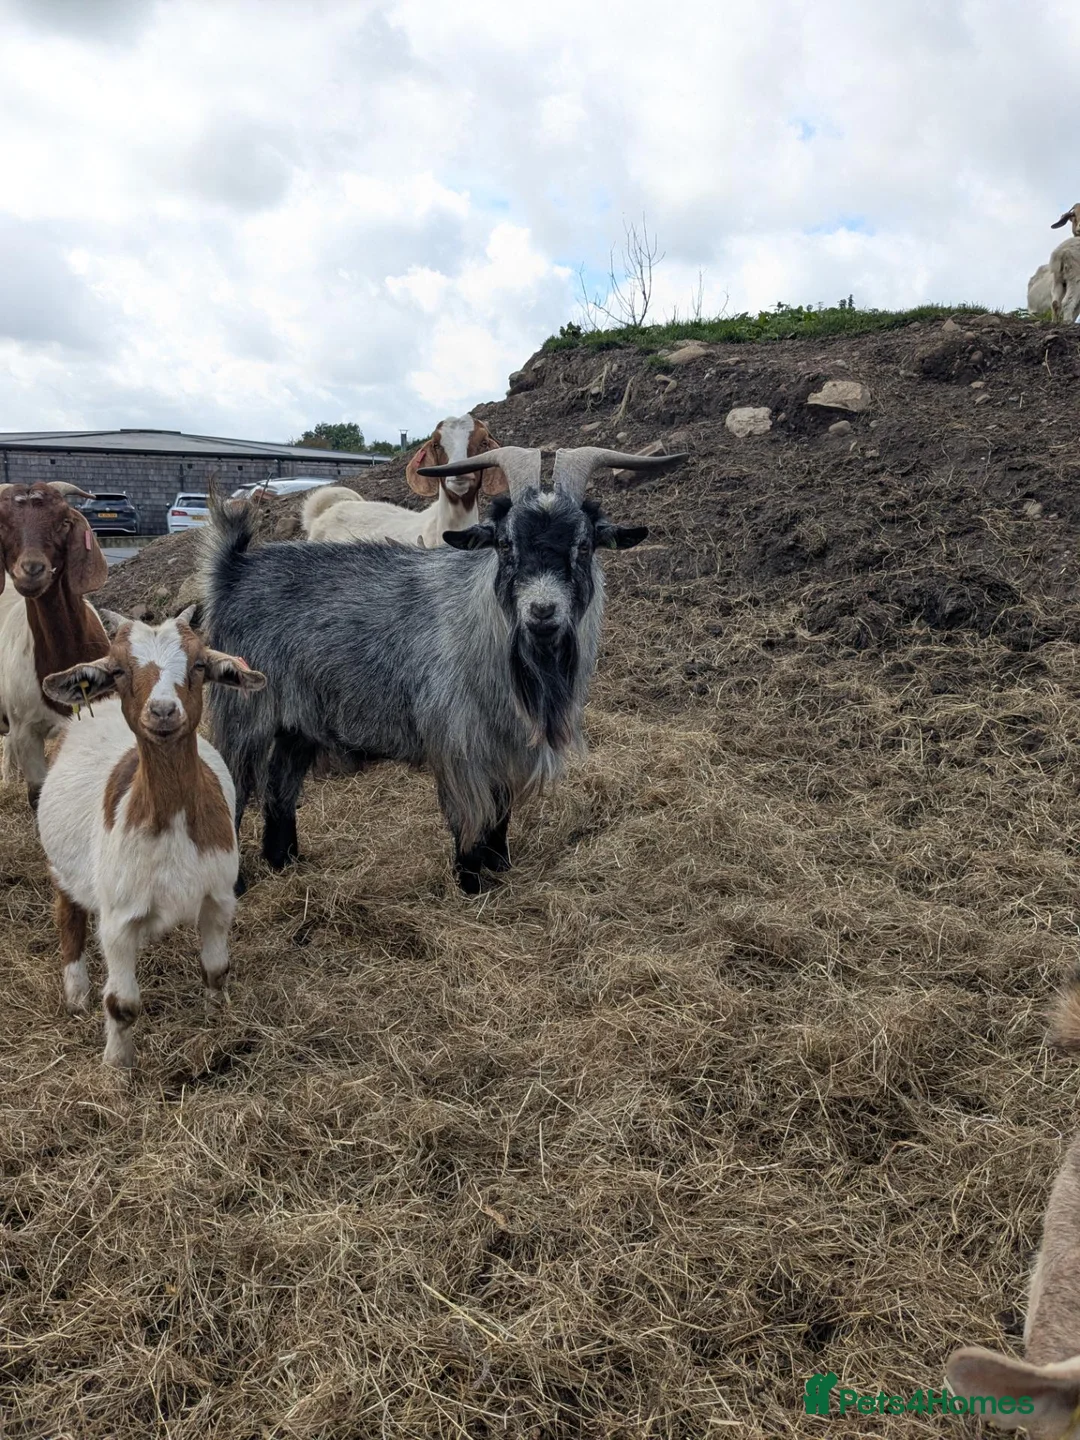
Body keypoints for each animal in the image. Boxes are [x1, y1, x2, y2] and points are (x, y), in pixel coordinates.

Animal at [37, 609, 265, 1067]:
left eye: (200, 665)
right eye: (119, 670)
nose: (162, 711)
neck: (171, 820)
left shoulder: (218, 896)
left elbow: (217, 969)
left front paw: (219, 1022)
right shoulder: (117, 918)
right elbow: (122, 1003)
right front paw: (117, 1064)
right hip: (60, 866)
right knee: (67, 914)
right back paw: (76, 994)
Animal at [202, 444, 684, 893]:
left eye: (583, 545)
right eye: (505, 544)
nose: (542, 612)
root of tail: (234, 571)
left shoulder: (505, 745)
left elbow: (501, 812)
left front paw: (500, 866)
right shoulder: (459, 743)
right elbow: (468, 817)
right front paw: (471, 883)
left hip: (298, 723)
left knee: (280, 786)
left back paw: (284, 861)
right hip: (244, 712)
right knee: (234, 788)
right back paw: (238, 884)